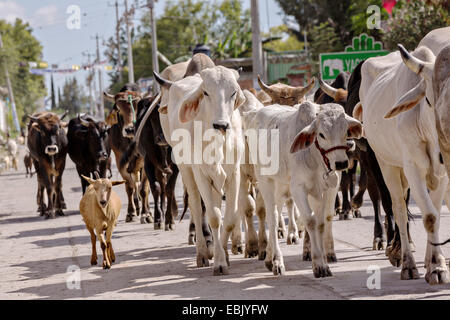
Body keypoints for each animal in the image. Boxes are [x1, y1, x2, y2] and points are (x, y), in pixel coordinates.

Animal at [158, 65, 244, 276]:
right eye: (205, 92)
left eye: (233, 92)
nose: (221, 125)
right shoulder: (202, 175)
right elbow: (213, 217)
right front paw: (219, 261)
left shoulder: (234, 174)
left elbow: (229, 218)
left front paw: (224, 254)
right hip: (186, 170)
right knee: (197, 208)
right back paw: (202, 254)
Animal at [243, 100, 362, 278]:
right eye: (321, 134)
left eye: (345, 131)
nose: (341, 163)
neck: (315, 156)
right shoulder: (298, 188)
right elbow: (310, 221)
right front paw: (319, 265)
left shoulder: (326, 189)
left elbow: (321, 222)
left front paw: (324, 262)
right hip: (265, 181)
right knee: (272, 217)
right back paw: (277, 261)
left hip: (281, 185)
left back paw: (269, 258)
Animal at [356, 43, 450, 284]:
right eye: (428, 100)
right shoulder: (412, 168)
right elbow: (429, 216)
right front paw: (435, 267)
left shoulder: (441, 173)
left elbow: (435, 213)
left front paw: (435, 263)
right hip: (387, 164)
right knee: (398, 208)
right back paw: (406, 261)